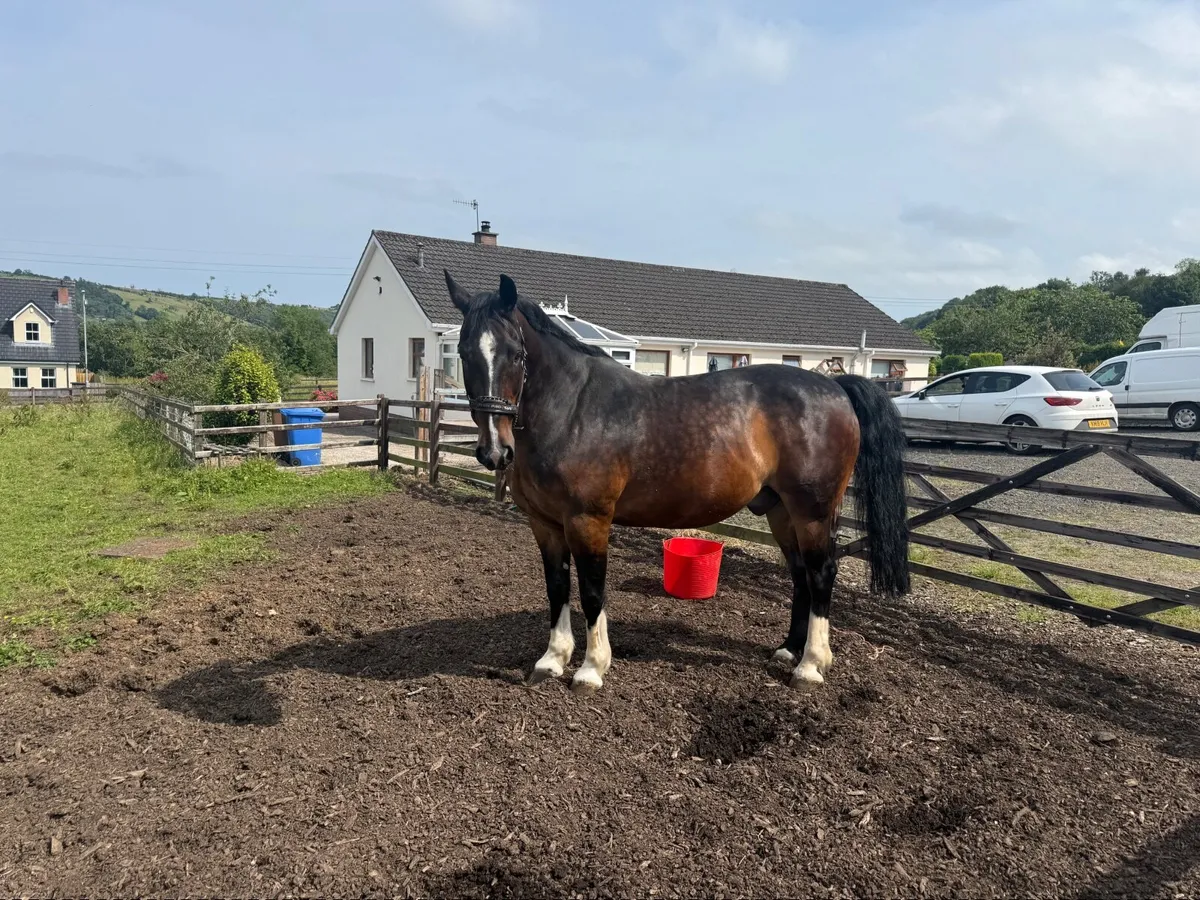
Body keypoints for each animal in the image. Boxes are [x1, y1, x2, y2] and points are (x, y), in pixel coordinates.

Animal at [443, 270, 910, 695]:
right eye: (462, 352)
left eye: (515, 355)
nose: (494, 451)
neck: (572, 410)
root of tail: (834, 385)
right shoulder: (545, 524)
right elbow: (557, 587)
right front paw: (552, 660)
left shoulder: (587, 520)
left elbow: (592, 591)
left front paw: (591, 669)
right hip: (781, 510)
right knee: (799, 575)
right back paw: (788, 651)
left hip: (812, 511)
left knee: (821, 573)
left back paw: (811, 665)